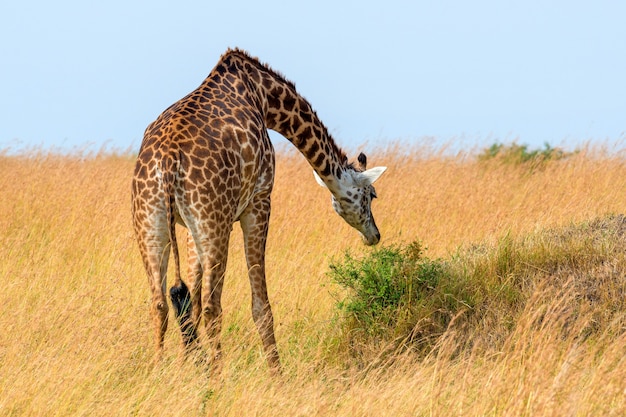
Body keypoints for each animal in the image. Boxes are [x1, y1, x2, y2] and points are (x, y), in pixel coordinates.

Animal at [130, 47, 386, 372]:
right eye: (372, 195)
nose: (375, 235)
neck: (265, 96)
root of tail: (166, 160)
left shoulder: (188, 227)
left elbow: (193, 302)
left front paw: (188, 363)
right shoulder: (260, 201)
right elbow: (260, 306)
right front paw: (277, 374)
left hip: (151, 222)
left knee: (160, 303)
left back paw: (158, 371)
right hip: (213, 222)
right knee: (213, 306)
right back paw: (217, 378)